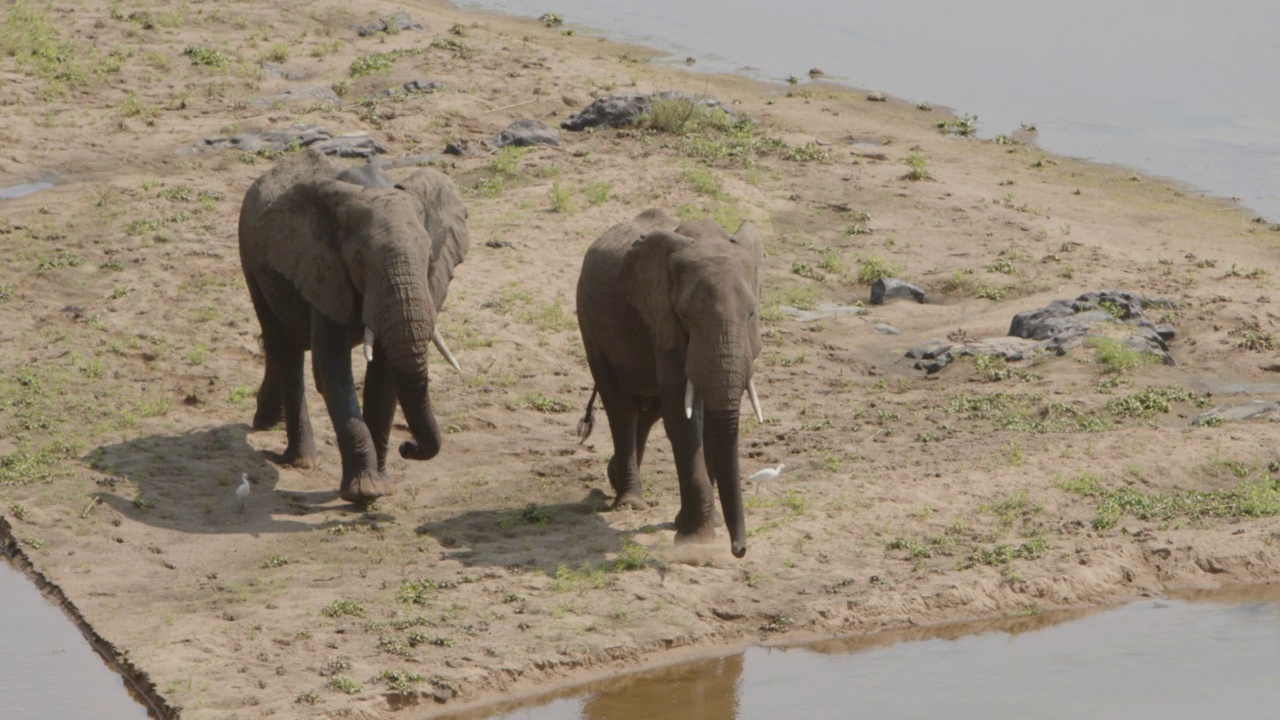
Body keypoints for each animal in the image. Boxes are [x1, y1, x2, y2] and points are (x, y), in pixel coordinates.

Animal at [238, 149, 468, 502]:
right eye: (358, 260)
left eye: (429, 257)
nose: (408, 446)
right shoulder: (324, 269)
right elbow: (331, 371)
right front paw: (365, 492)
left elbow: (386, 375)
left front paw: (381, 485)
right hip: (251, 262)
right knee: (285, 349)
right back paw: (302, 460)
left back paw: (267, 421)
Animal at [576, 207, 762, 556]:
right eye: (686, 317)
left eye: (751, 315)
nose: (739, 549)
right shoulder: (662, 319)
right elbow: (684, 420)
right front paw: (696, 539)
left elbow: (703, 419)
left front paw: (709, 523)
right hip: (588, 320)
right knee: (620, 408)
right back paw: (629, 502)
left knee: (647, 410)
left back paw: (615, 478)